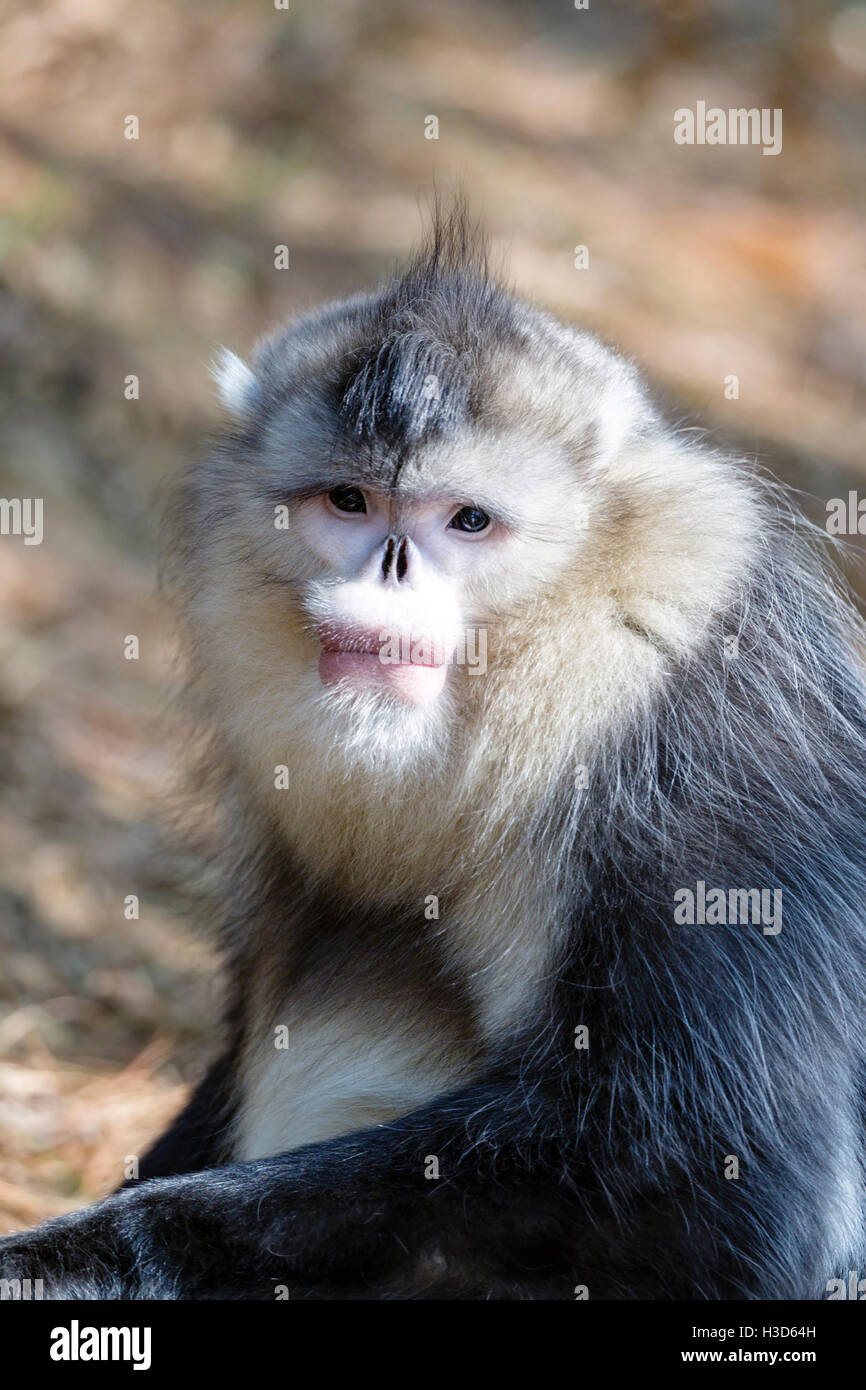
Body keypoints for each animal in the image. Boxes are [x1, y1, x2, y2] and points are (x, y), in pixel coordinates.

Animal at [1, 208, 866, 1301]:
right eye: (349, 503)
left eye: (467, 520)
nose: (387, 579)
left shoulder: (718, 758)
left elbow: (716, 1179)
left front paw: (73, 1256)